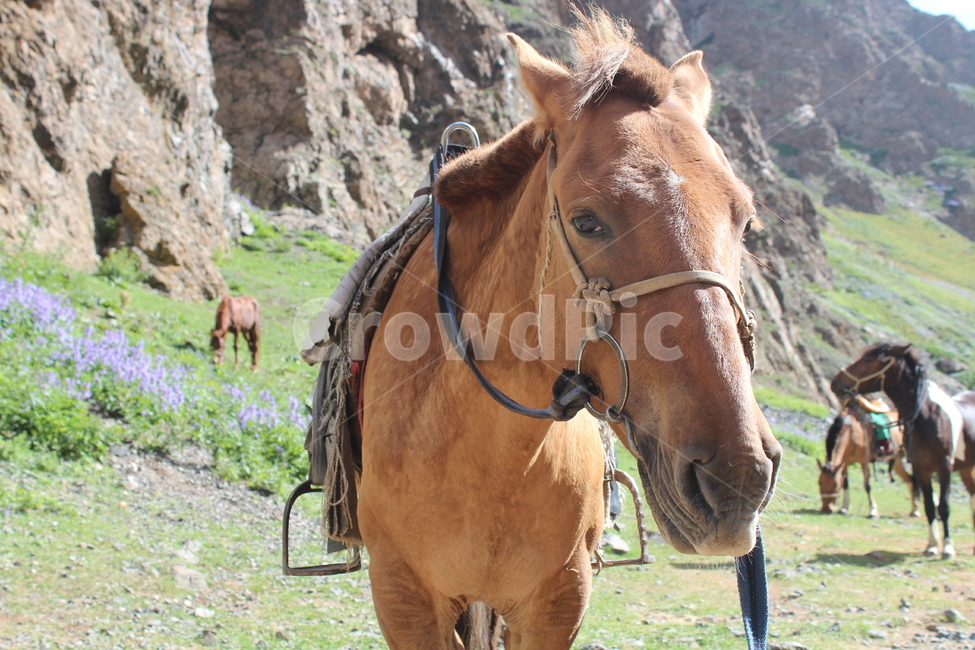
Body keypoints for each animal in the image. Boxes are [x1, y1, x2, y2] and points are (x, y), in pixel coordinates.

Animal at [357, 10, 781, 648]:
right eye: (586, 221)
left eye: (745, 220)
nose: (736, 477)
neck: (487, 454)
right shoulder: (403, 598)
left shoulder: (559, 598)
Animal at [831, 342, 965, 558]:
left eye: (868, 360)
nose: (835, 382)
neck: (927, 419)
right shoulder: (921, 467)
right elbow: (930, 506)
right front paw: (931, 545)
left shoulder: (945, 467)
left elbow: (943, 507)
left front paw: (947, 547)